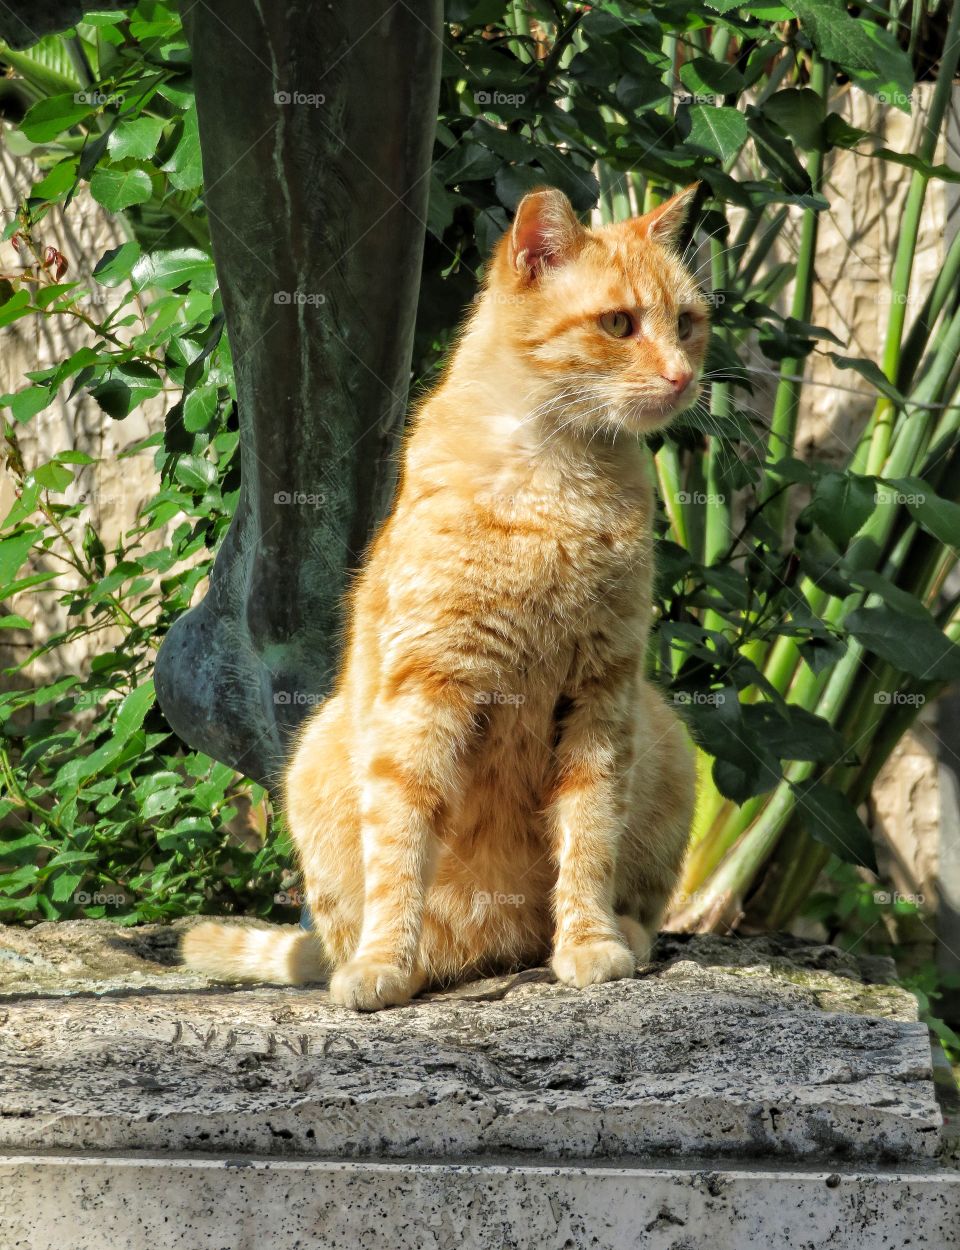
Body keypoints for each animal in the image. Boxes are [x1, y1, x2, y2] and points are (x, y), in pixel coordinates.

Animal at [182, 182, 705, 1005]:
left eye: (687, 323)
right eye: (619, 324)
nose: (684, 375)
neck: (557, 484)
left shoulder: (603, 693)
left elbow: (589, 834)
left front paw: (589, 943)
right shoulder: (426, 692)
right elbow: (400, 847)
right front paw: (385, 965)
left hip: (666, 736)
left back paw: (618, 933)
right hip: (312, 757)